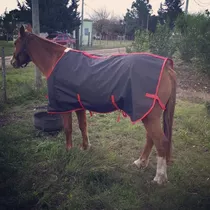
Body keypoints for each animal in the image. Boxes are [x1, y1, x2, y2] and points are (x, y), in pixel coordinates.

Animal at [10, 25, 176, 185]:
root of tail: (167, 67)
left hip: (149, 116)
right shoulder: (78, 105)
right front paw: (85, 147)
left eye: (16, 43)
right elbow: (83, 126)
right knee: (151, 138)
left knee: (161, 142)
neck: (56, 60)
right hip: (147, 114)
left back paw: (160, 177)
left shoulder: (64, 106)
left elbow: (68, 129)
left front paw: (68, 151)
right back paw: (141, 162)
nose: (12, 63)